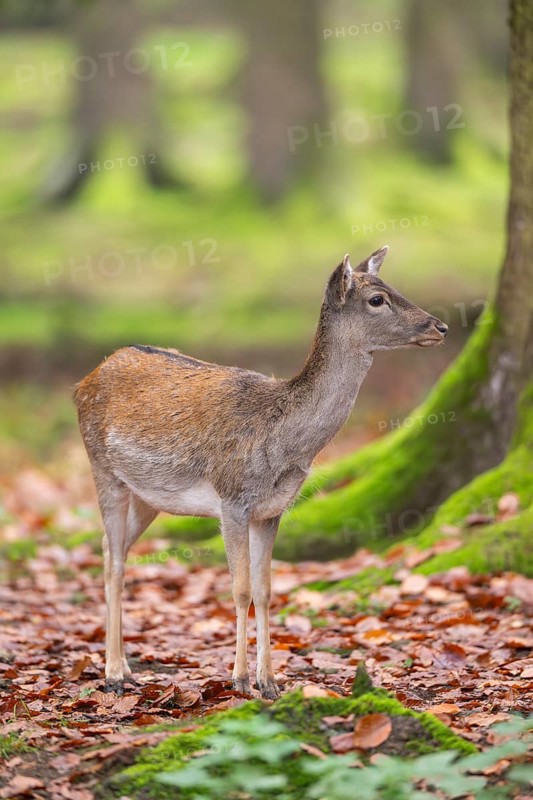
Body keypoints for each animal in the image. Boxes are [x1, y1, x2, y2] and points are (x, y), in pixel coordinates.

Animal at [75, 247, 448, 699]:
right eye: (377, 299)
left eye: (393, 287)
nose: (441, 326)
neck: (282, 440)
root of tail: (84, 380)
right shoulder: (232, 500)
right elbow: (239, 590)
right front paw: (238, 680)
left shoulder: (271, 510)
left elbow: (266, 590)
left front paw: (269, 682)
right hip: (102, 467)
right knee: (112, 561)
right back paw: (113, 674)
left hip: (149, 496)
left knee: (114, 551)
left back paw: (127, 669)